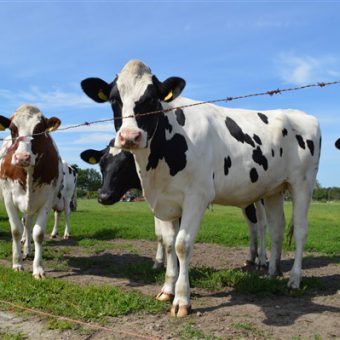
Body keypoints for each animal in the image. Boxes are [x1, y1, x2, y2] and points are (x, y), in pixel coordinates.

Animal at [0, 104, 63, 278]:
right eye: (12, 129)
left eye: (40, 129)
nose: (22, 157)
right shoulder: (8, 197)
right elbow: (16, 230)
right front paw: (17, 263)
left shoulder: (47, 198)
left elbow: (38, 233)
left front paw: (38, 268)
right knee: (24, 225)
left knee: (28, 225)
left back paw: (27, 249)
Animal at [80, 139, 268, 270]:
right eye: (101, 164)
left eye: (126, 163)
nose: (103, 196)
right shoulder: (159, 204)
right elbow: (160, 235)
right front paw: (158, 263)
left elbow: (177, 237)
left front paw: (176, 266)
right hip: (247, 199)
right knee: (252, 224)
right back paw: (251, 258)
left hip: (263, 196)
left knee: (262, 225)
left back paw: (263, 261)